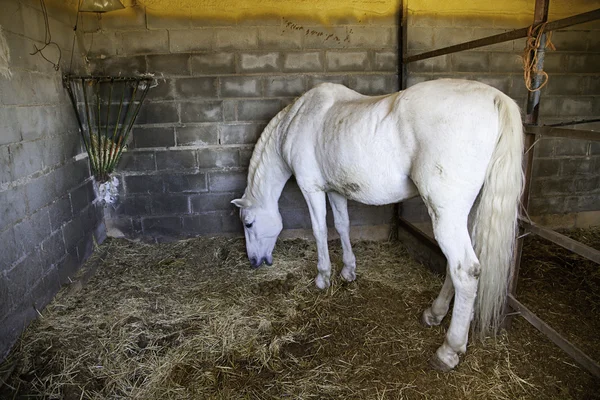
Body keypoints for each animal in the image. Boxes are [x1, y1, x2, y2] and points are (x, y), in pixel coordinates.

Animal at [232, 79, 524, 370]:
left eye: (248, 223)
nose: (255, 261)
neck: (298, 118)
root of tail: (495, 98)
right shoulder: (335, 190)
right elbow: (342, 225)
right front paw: (348, 271)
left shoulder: (311, 189)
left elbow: (320, 230)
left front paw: (323, 278)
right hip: (467, 214)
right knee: (457, 268)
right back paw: (435, 313)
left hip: (446, 214)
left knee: (465, 271)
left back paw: (448, 350)